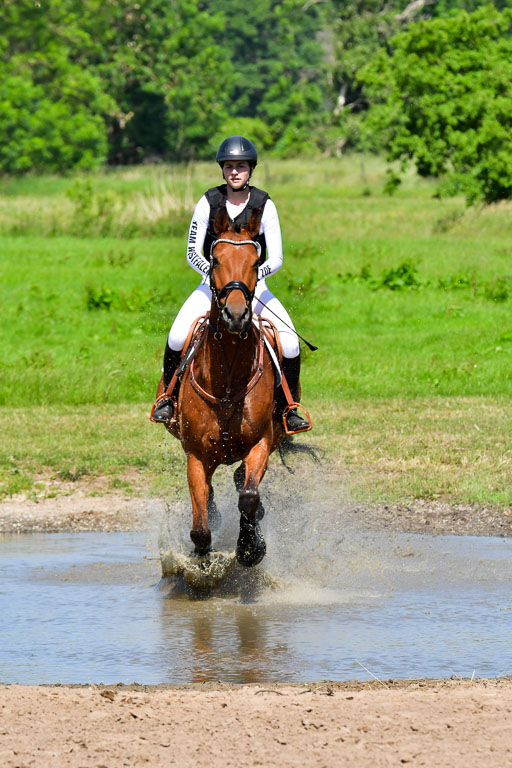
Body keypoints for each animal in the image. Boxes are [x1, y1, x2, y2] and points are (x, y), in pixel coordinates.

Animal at [157, 207, 286, 567]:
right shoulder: (196, 455)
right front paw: (202, 564)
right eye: (214, 260)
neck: (227, 377)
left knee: (243, 482)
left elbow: (249, 497)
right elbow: (201, 527)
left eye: (255, 263)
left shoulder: (261, 443)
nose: (236, 315)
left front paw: (250, 547)